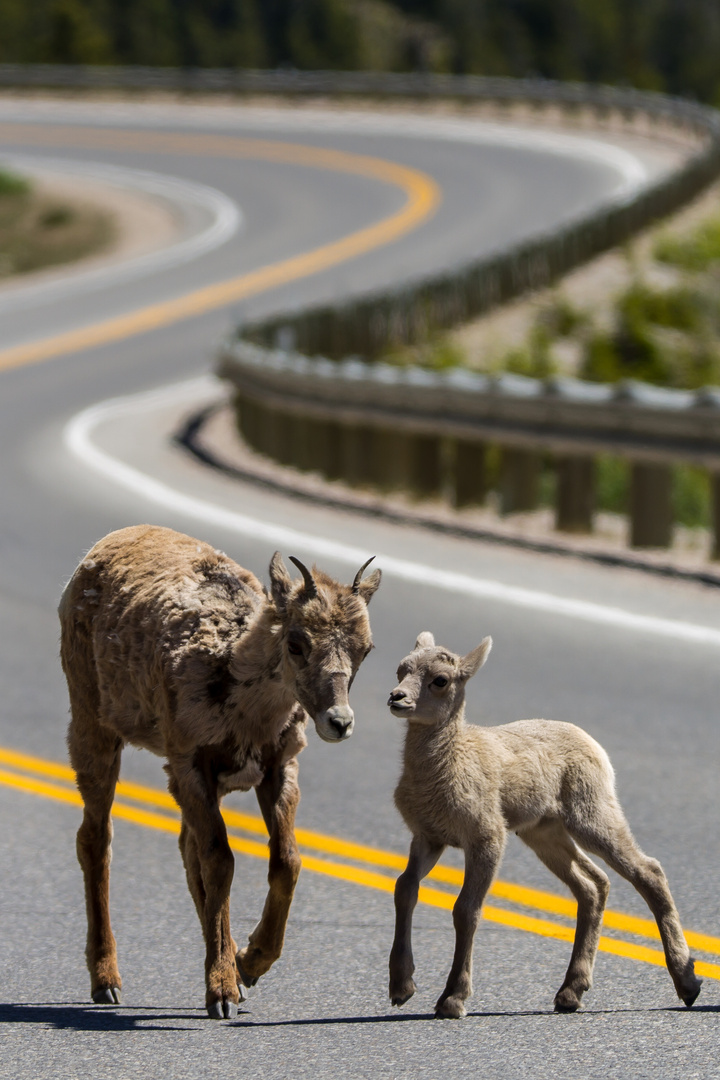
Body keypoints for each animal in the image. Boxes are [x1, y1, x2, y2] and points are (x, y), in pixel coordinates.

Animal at [60, 527, 382, 1015]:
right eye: (296, 642)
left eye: (365, 650)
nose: (339, 722)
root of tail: (95, 552)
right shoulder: (190, 767)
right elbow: (221, 863)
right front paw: (223, 994)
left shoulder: (277, 770)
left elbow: (285, 861)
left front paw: (249, 965)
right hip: (93, 729)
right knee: (96, 839)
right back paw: (107, 984)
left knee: (184, 848)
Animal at [388, 630, 703, 1015]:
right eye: (401, 669)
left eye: (440, 680)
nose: (396, 698)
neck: (448, 765)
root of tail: (596, 748)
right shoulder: (428, 837)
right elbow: (405, 889)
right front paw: (401, 988)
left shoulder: (487, 838)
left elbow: (466, 910)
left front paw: (452, 1000)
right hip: (544, 833)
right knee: (593, 885)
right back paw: (570, 993)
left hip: (591, 816)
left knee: (648, 871)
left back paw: (688, 985)